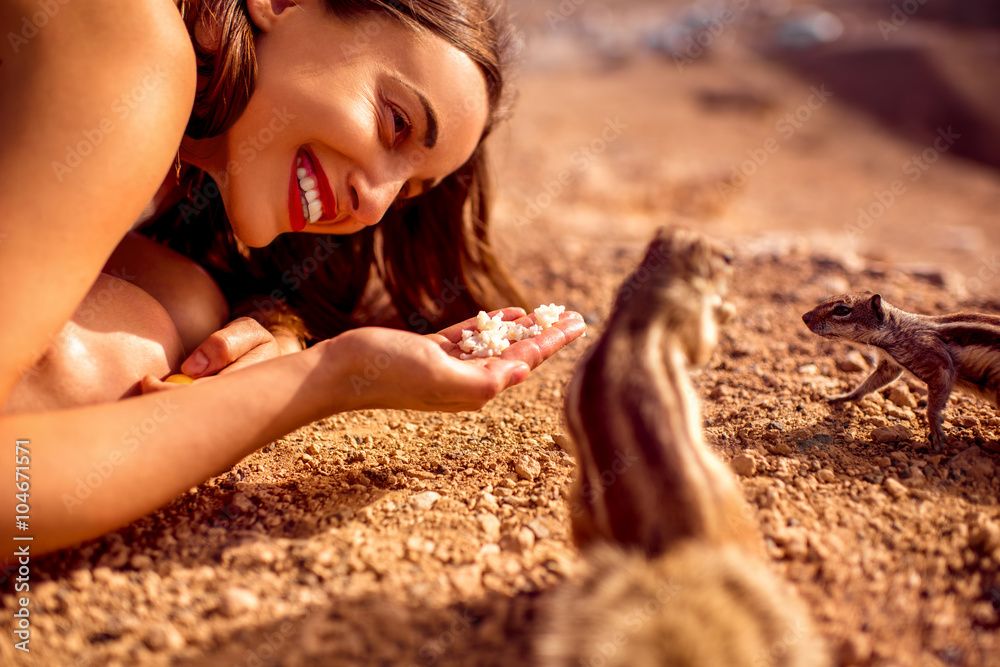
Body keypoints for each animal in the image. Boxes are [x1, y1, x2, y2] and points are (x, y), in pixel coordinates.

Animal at [804, 290, 1000, 452]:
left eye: (842, 310)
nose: (804, 317)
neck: (897, 329)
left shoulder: (939, 365)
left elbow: (933, 407)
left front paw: (936, 433)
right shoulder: (889, 366)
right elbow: (868, 384)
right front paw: (841, 397)